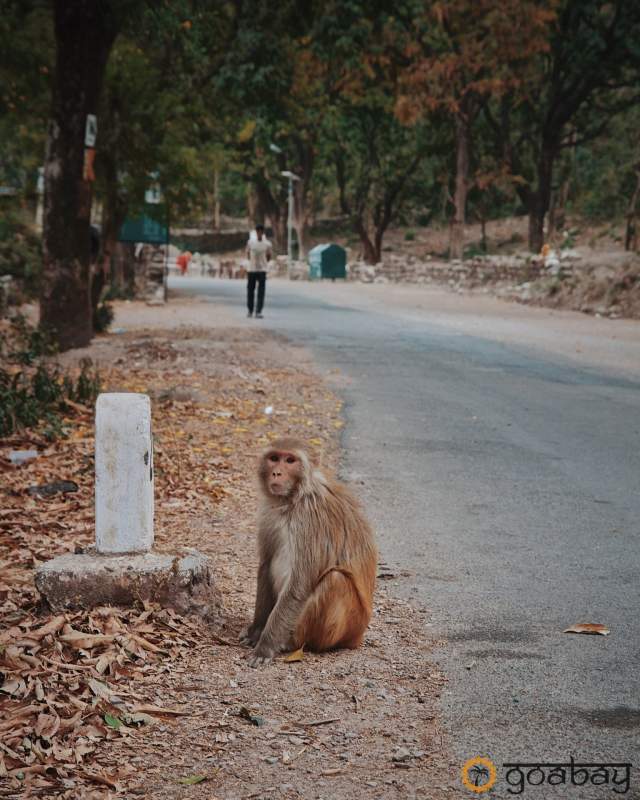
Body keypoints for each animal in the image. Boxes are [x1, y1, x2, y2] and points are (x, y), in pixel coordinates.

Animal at [240, 437, 377, 667]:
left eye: (290, 460)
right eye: (274, 458)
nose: (277, 472)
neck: (294, 498)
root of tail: (358, 637)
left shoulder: (310, 520)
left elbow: (299, 585)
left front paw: (265, 646)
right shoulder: (270, 515)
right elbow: (266, 565)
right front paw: (256, 631)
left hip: (347, 626)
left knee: (336, 579)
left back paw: (292, 644)